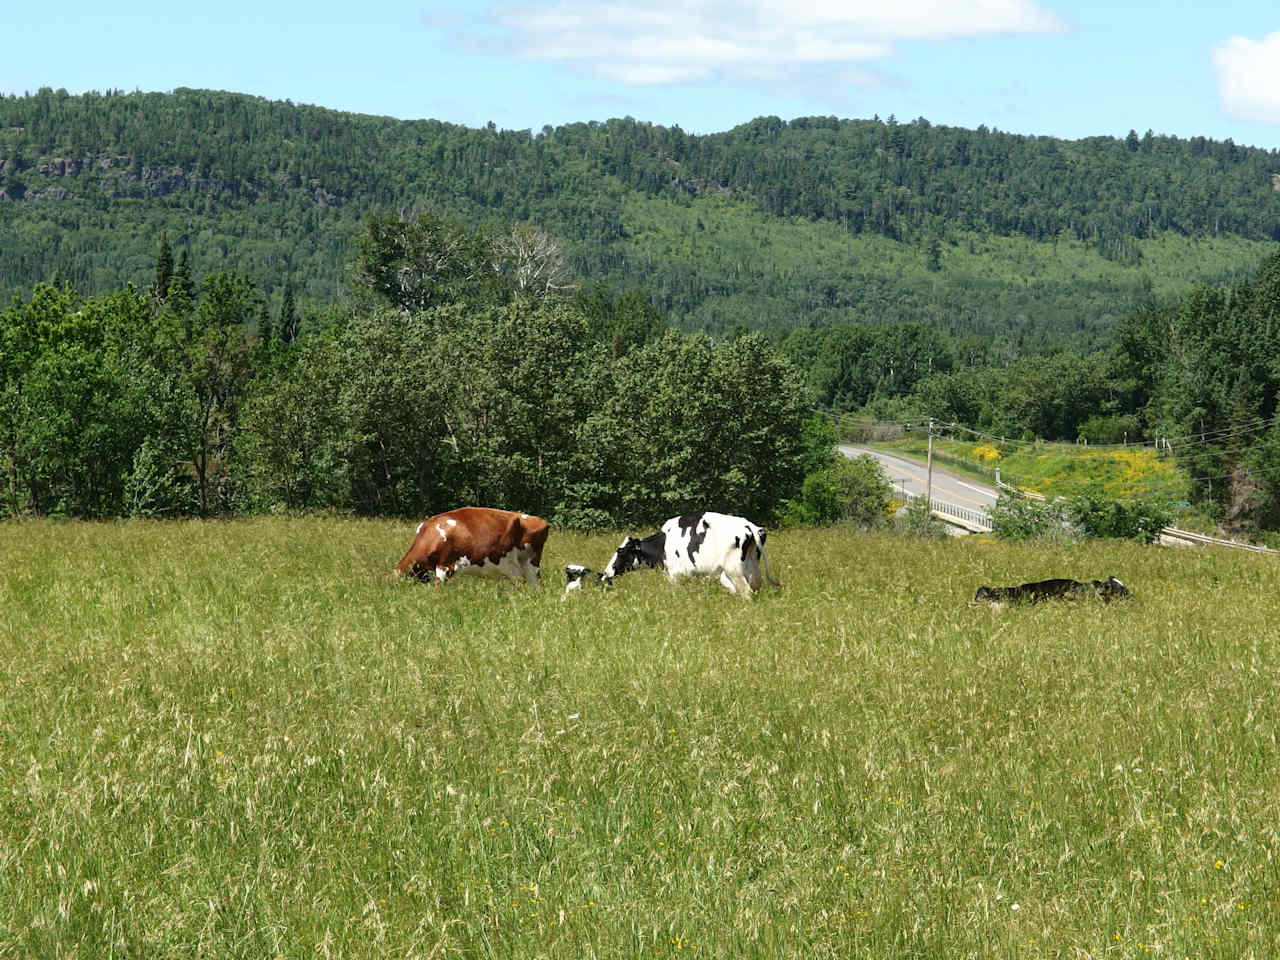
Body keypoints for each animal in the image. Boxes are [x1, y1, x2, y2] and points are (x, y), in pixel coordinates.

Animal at [599, 514, 778, 599]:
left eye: (620, 551)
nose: (606, 572)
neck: (663, 544)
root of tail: (749, 525)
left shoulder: (675, 575)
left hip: (733, 570)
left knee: (746, 591)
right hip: (750, 569)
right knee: (752, 588)